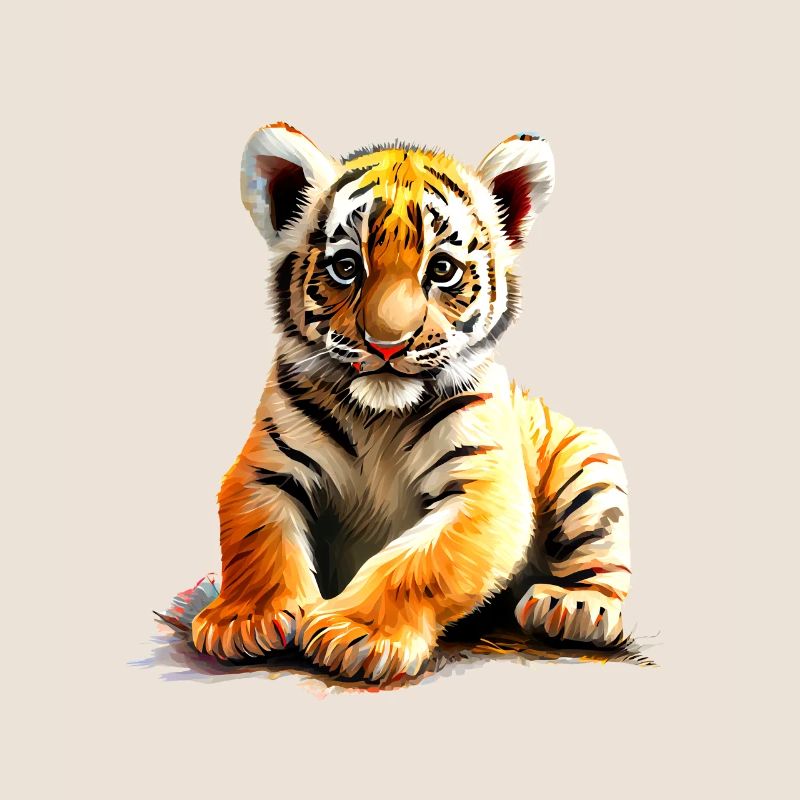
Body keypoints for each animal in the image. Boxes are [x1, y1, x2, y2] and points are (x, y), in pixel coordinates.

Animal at [189, 121, 632, 683]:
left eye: (441, 269)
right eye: (346, 266)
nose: (387, 345)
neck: (378, 417)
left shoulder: (483, 486)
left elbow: (417, 563)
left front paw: (357, 633)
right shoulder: (264, 468)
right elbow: (258, 539)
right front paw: (245, 618)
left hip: (586, 464)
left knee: (602, 563)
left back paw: (575, 606)